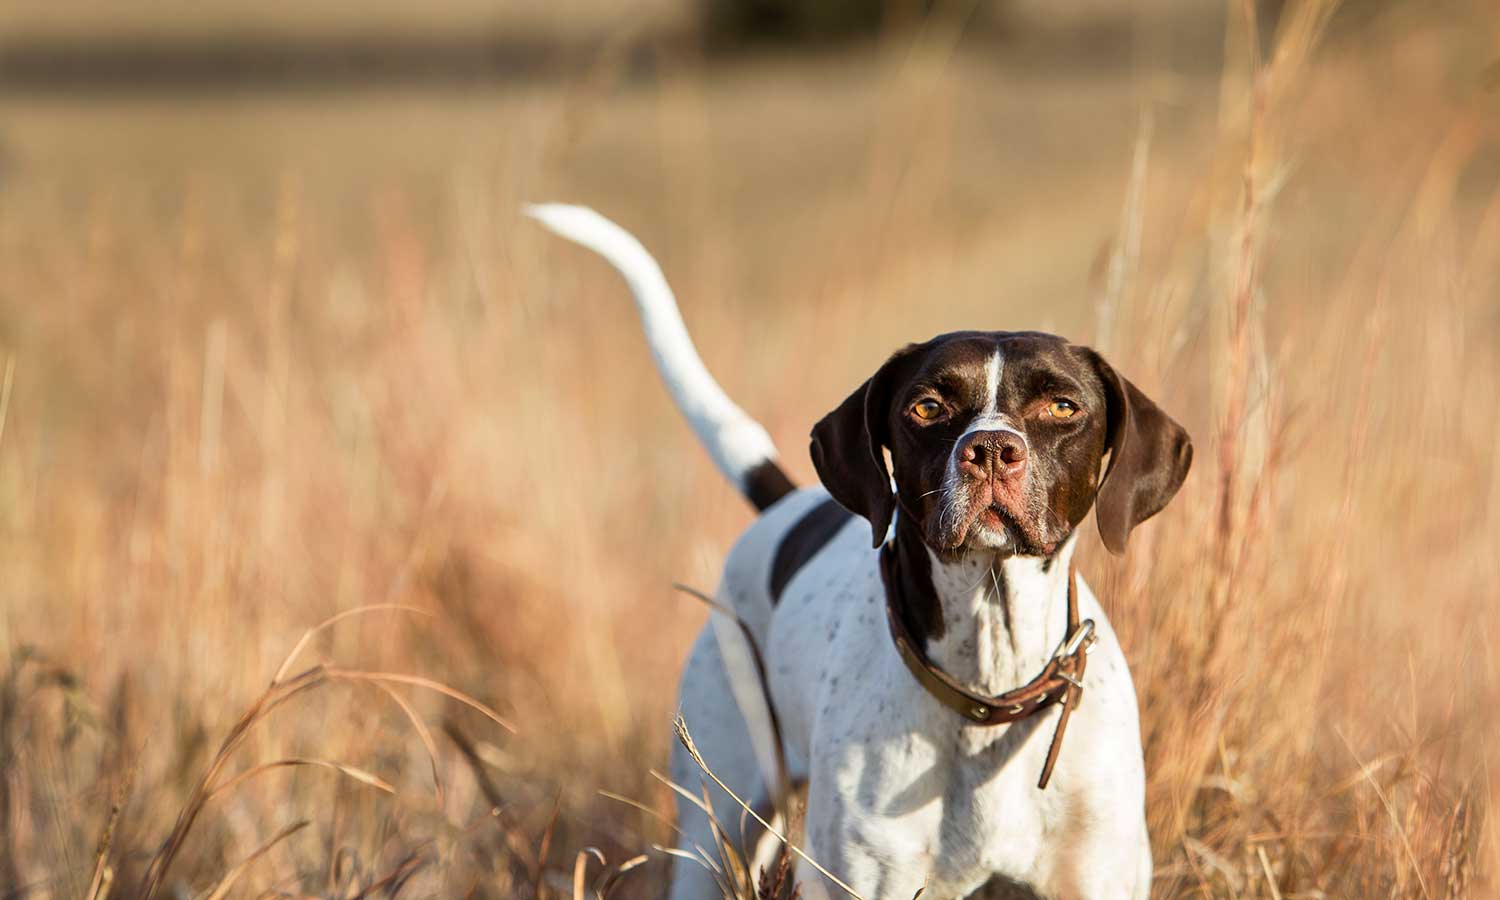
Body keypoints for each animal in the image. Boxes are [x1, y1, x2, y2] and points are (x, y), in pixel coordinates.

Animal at [534, 205, 1188, 900]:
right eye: (927, 406)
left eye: (1062, 406)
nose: (989, 449)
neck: (987, 684)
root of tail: (785, 506)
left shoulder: (1096, 877)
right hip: (715, 833)